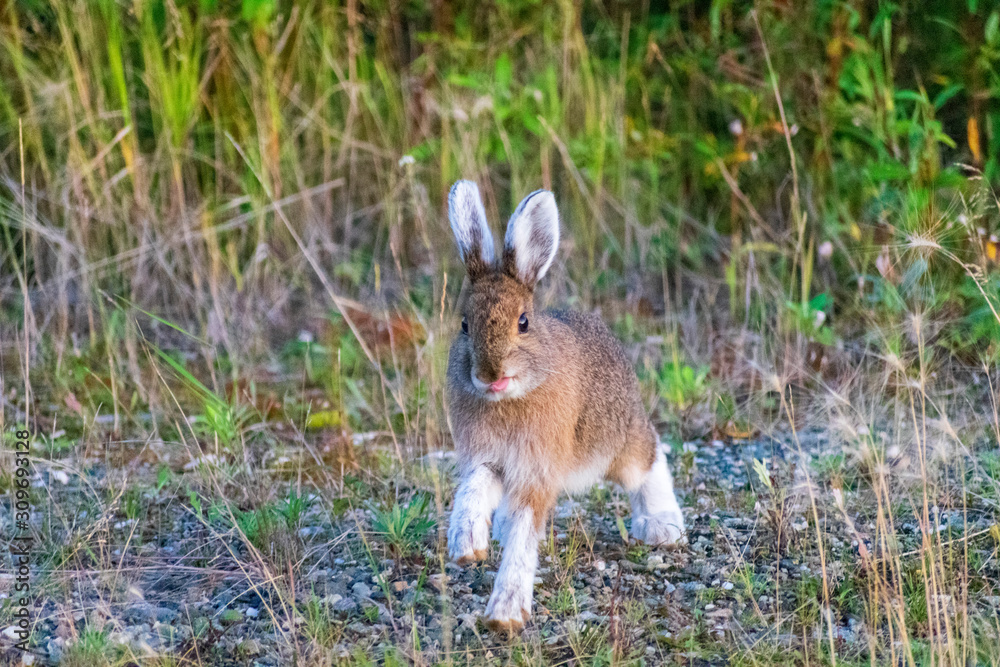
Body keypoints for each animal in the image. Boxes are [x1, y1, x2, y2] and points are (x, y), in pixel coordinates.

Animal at [444, 180, 685, 633]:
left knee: (648, 459)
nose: (490, 373)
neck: (509, 398)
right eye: (465, 325)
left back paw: (664, 527)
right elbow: (472, 494)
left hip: (618, 441)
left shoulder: (538, 469)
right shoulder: (488, 460)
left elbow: (526, 532)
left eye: (523, 322)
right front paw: (466, 546)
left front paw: (505, 613)